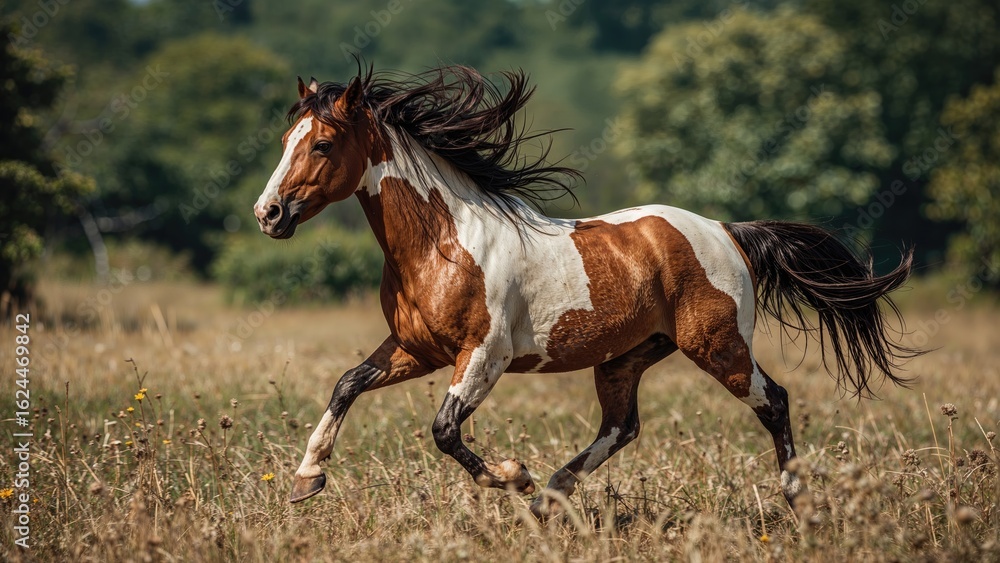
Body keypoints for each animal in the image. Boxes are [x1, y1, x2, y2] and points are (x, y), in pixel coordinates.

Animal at [253, 64, 920, 517]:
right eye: (286, 141)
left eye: (322, 144)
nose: (269, 213)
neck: (446, 241)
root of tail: (727, 232)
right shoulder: (418, 350)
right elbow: (347, 384)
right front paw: (306, 478)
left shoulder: (484, 356)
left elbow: (444, 431)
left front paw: (513, 475)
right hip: (625, 357)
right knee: (622, 427)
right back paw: (551, 497)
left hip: (719, 346)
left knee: (774, 401)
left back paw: (795, 501)